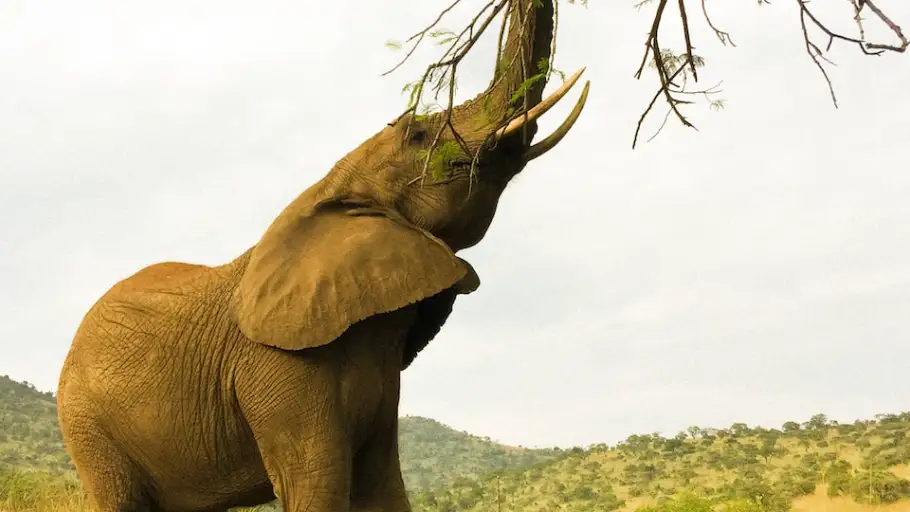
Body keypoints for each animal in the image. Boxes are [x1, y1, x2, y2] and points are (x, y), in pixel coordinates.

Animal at [56, 1, 590, 511]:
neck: (330, 190)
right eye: (417, 135)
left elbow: (381, 489)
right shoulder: (279, 366)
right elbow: (316, 485)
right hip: (87, 425)